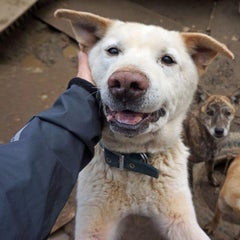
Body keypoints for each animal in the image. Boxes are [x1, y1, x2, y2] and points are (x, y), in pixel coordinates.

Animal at [54, 9, 234, 240]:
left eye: (167, 59)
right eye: (113, 51)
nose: (126, 83)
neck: (134, 159)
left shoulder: (179, 217)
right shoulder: (94, 223)